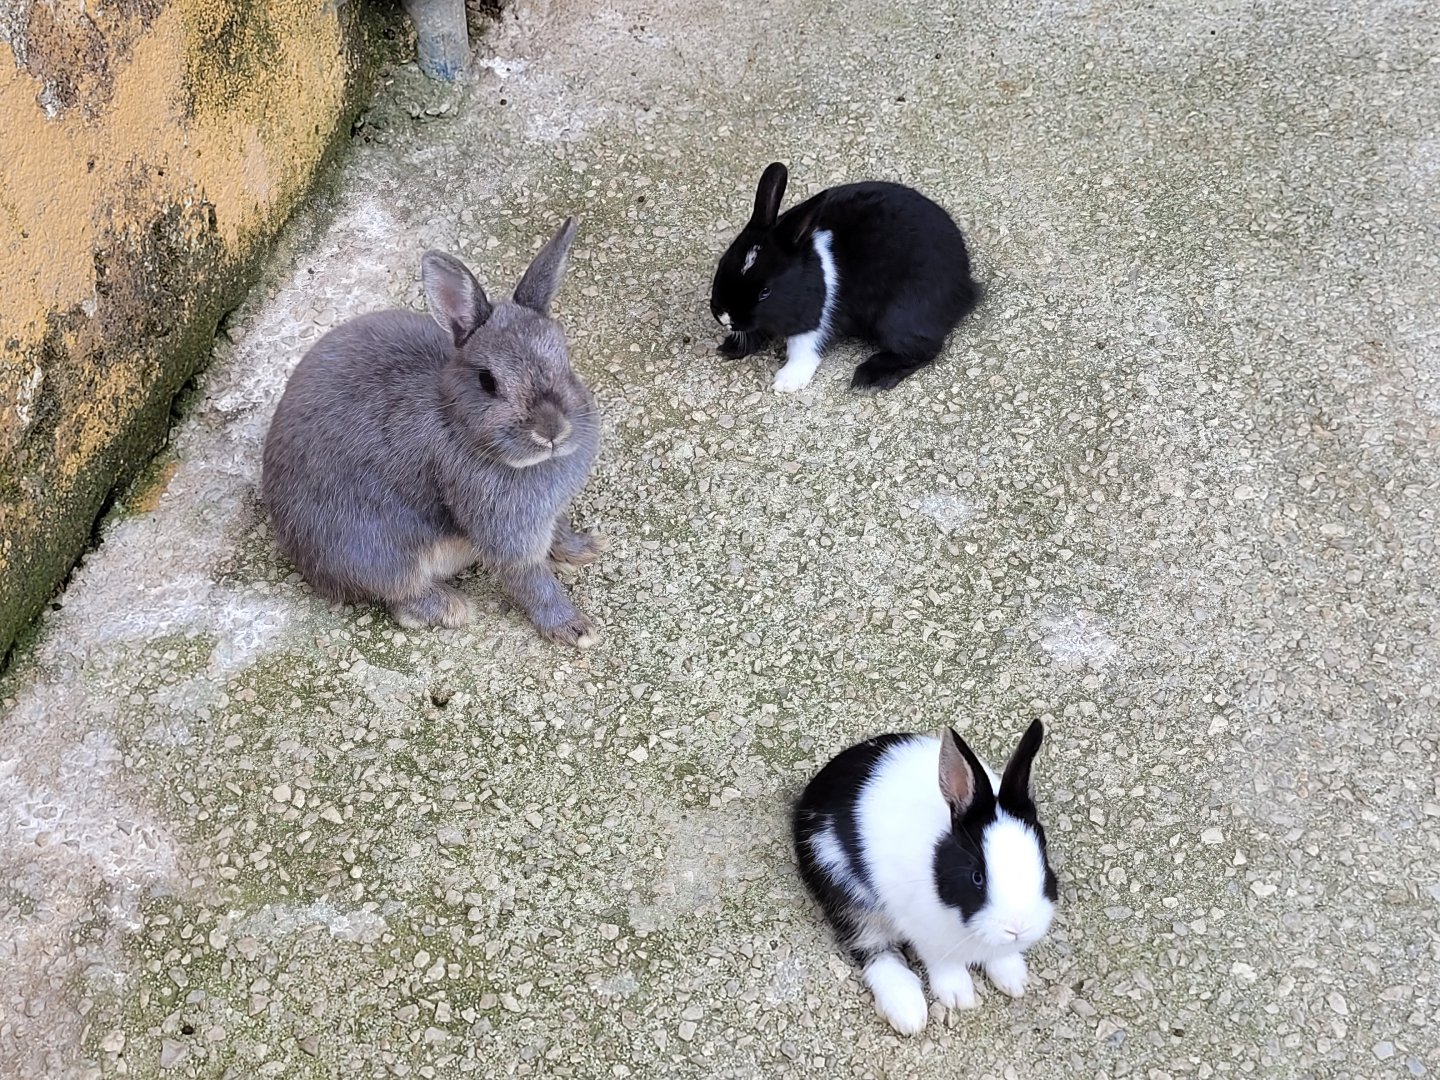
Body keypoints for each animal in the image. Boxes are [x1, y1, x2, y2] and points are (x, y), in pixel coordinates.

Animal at [260, 218, 605, 648]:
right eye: (487, 381)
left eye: (564, 357)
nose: (552, 431)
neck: (457, 421)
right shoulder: (505, 533)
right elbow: (528, 578)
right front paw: (575, 628)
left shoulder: (549, 513)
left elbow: (557, 533)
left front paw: (586, 548)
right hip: (374, 552)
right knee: (399, 595)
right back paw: (451, 608)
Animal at [709, 162, 982, 393]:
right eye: (723, 263)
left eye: (765, 292)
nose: (723, 316)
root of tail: (965, 286)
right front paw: (731, 348)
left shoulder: (815, 321)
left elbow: (803, 349)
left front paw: (786, 382)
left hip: (897, 318)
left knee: (923, 350)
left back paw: (870, 377)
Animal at [792, 719, 1057, 1035]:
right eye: (977, 877)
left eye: (1044, 863)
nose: (1017, 928)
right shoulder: (924, 932)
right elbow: (943, 963)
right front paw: (958, 996)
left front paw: (1014, 980)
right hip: (842, 884)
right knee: (873, 948)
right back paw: (908, 1012)